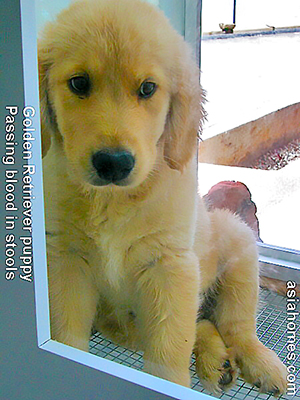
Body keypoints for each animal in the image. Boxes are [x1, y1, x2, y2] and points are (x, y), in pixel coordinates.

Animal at [39, 0, 286, 394]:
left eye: (147, 88)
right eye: (79, 83)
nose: (113, 163)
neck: (112, 200)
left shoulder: (170, 267)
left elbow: (170, 355)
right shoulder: (66, 261)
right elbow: (67, 337)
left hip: (238, 243)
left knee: (236, 325)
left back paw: (261, 364)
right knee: (202, 323)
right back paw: (217, 363)